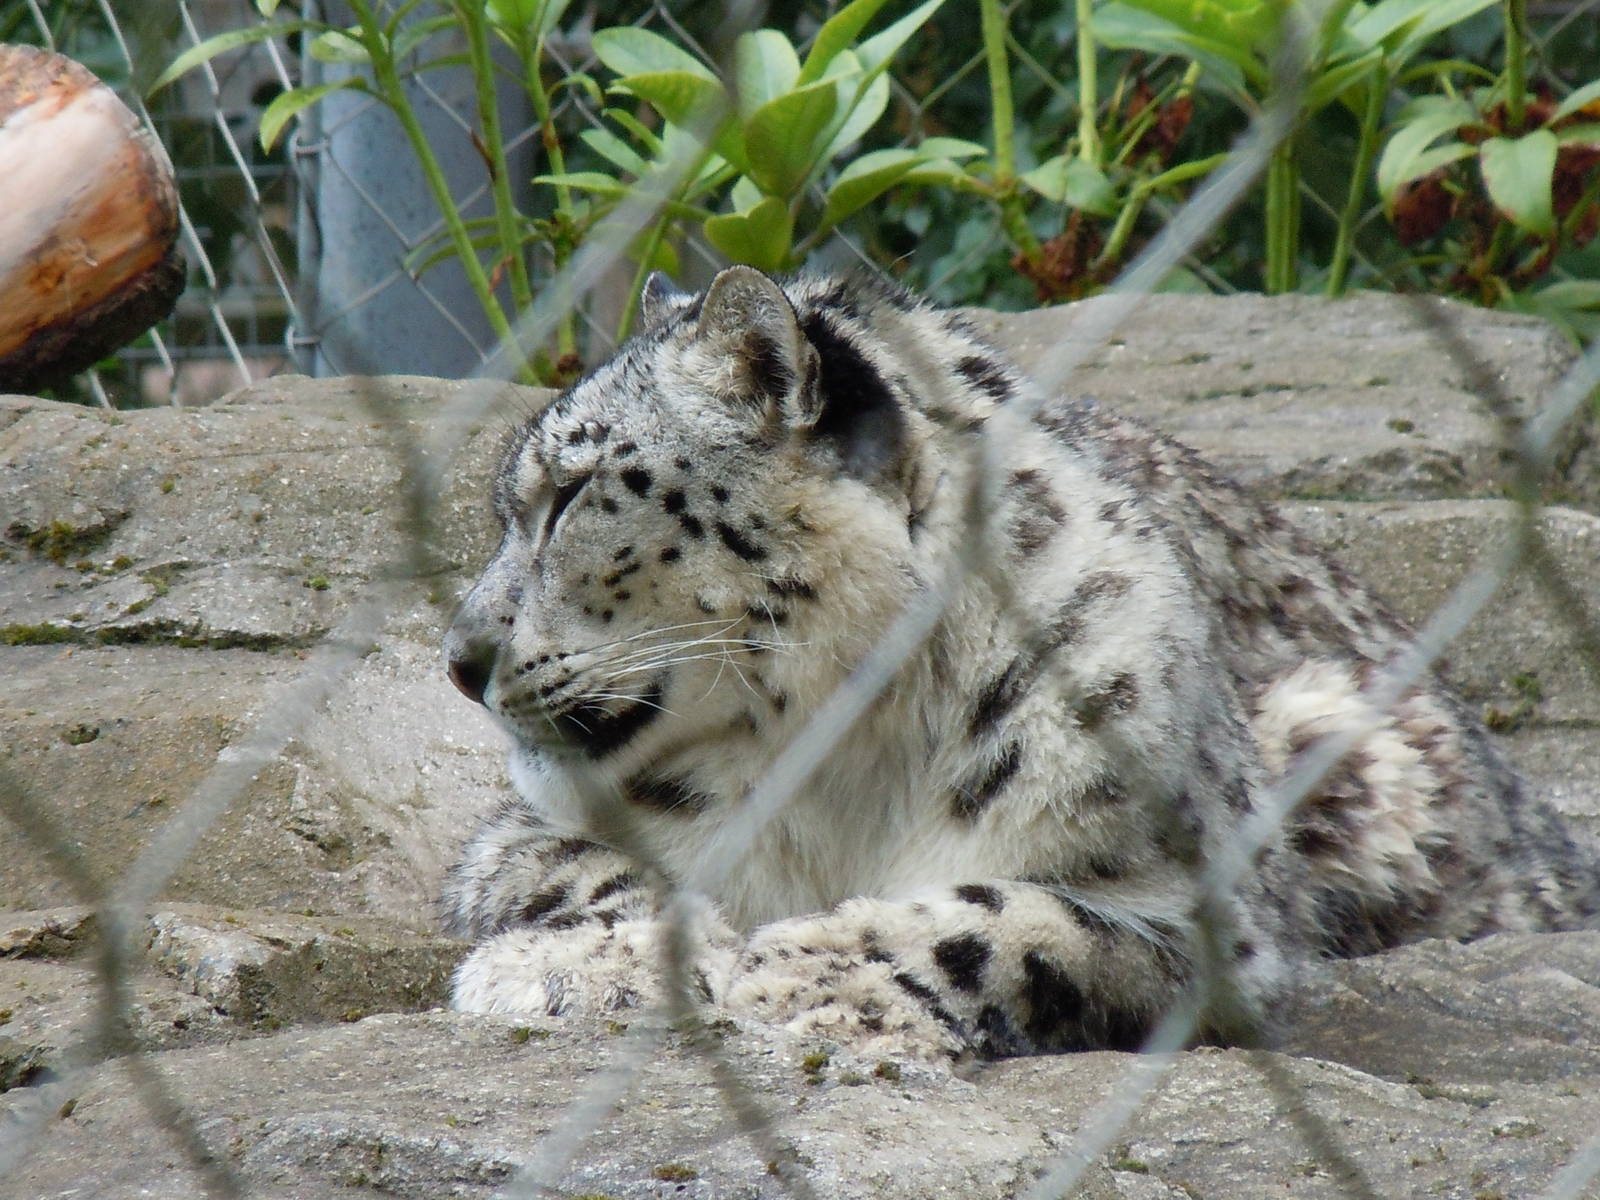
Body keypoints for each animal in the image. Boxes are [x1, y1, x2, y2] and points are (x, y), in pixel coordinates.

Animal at [440, 265, 1598, 1061]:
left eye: (571, 493)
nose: (459, 658)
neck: (842, 763)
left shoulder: (1203, 909)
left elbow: (1013, 924)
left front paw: (798, 974)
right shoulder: (513, 836)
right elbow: (582, 870)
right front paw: (575, 965)